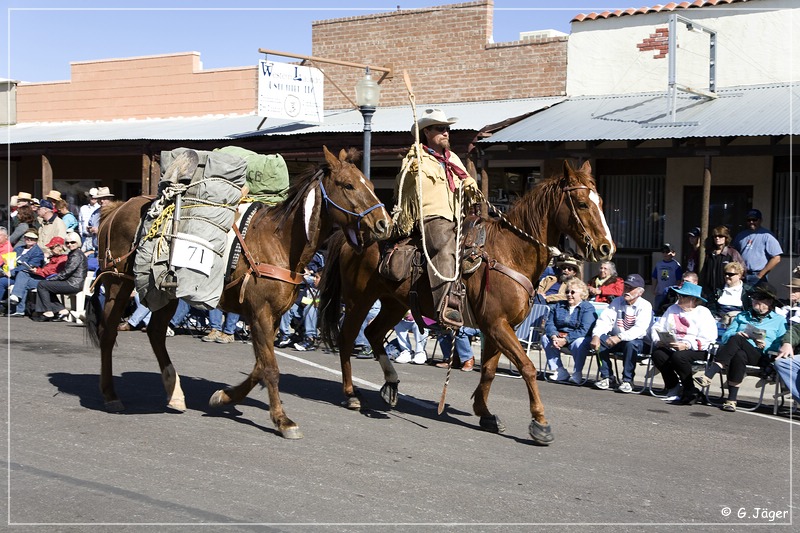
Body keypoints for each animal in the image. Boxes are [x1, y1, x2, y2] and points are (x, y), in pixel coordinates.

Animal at [86, 145, 392, 436]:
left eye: (371, 184)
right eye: (348, 185)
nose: (384, 223)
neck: (280, 243)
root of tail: (117, 209)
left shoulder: (271, 316)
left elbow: (260, 366)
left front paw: (224, 396)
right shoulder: (260, 313)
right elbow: (270, 368)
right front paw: (282, 420)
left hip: (167, 291)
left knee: (156, 333)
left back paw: (174, 392)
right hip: (119, 283)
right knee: (108, 332)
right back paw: (111, 394)